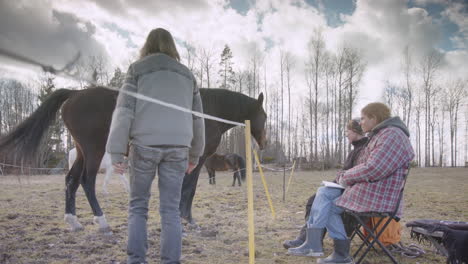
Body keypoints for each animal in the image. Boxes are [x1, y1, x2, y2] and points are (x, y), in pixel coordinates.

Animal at [0, 86, 266, 229]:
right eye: (264, 115)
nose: (263, 144)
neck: (205, 112)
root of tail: (76, 93)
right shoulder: (197, 161)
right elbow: (189, 189)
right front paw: (188, 219)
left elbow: (182, 189)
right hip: (95, 150)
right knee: (86, 182)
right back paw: (102, 221)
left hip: (83, 151)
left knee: (71, 181)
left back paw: (73, 221)